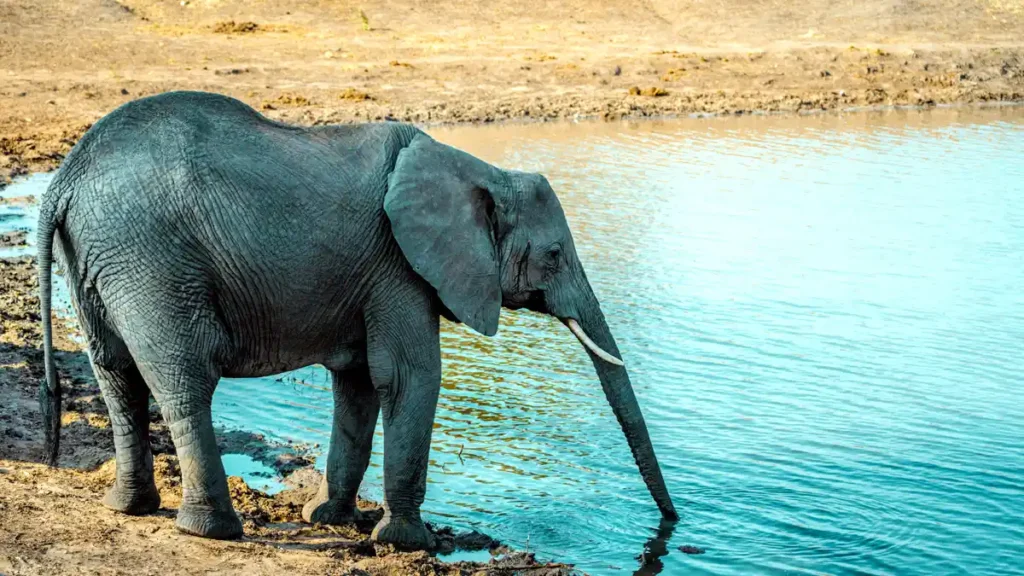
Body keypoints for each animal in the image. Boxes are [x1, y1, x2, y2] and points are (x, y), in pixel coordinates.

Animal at [39, 88, 675, 541]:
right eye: (555, 255)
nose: (670, 527)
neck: (481, 171)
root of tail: (65, 179)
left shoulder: (374, 274)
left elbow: (362, 383)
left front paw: (330, 520)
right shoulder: (398, 264)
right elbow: (412, 377)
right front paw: (407, 542)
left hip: (101, 258)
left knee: (117, 376)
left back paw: (129, 508)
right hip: (152, 260)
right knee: (185, 380)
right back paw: (213, 532)